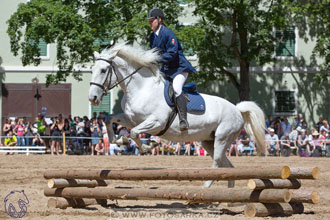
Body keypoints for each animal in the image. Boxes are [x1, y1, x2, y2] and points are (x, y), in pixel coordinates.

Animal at [89, 42, 266, 187]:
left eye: (103, 70)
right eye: (91, 69)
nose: (93, 98)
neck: (141, 89)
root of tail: (237, 109)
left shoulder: (157, 122)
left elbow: (134, 133)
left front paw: (148, 145)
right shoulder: (131, 119)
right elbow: (110, 120)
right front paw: (121, 140)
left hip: (222, 138)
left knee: (217, 163)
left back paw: (205, 188)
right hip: (209, 141)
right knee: (227, 167)